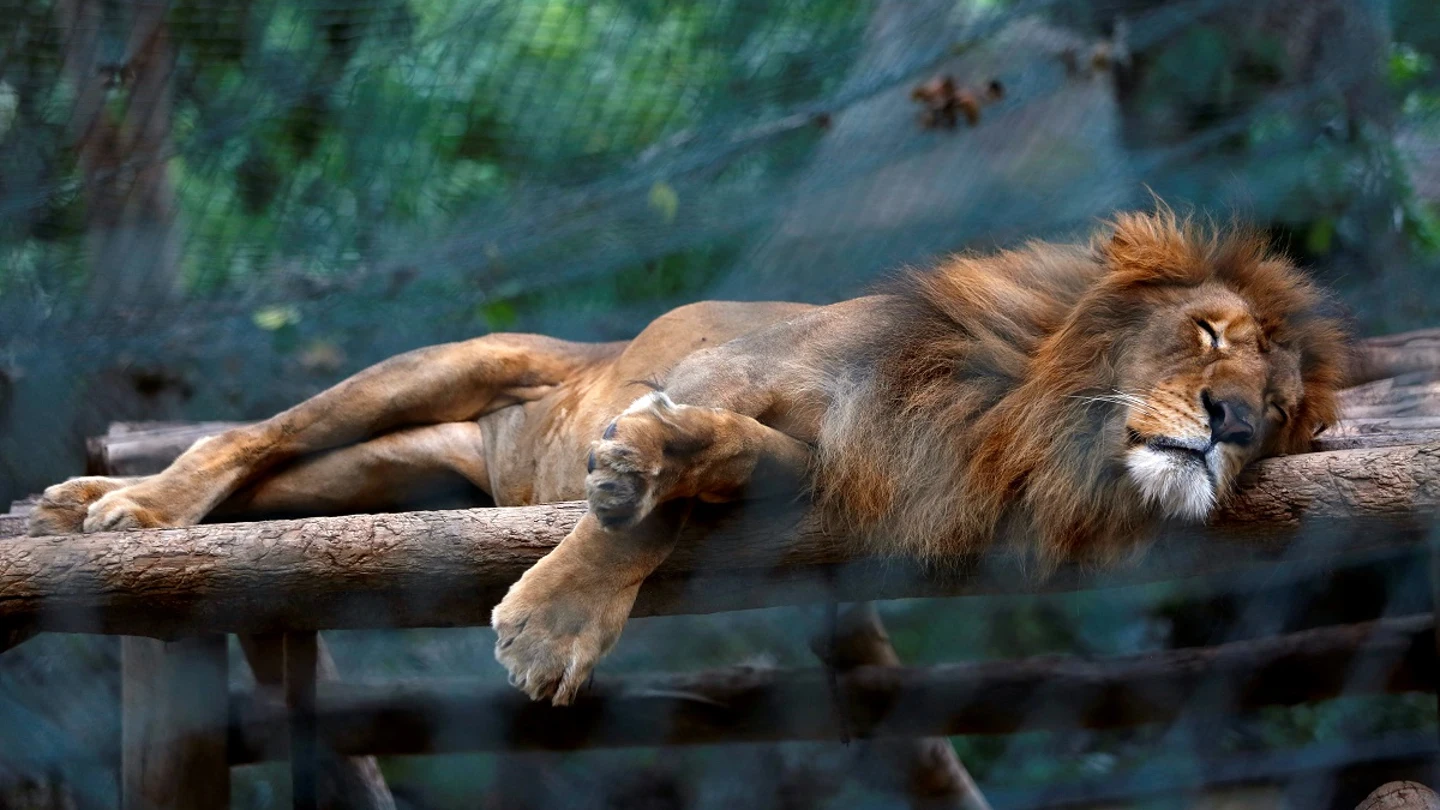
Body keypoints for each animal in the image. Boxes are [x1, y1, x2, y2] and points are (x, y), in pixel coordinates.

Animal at [28, 209, 1348, 705]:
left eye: (1282, 409)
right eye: (1209, 335)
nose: (1232, 424)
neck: (1010, 412)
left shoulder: (827, 472)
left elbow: (704, 482)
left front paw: (641, 479)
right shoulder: (737, 364)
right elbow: (648, 507)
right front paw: (560, 610)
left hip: (386, 473)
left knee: (275, 481)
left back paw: (97, 504)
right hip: (443, 366)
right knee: (247, 436)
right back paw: (127, 508)